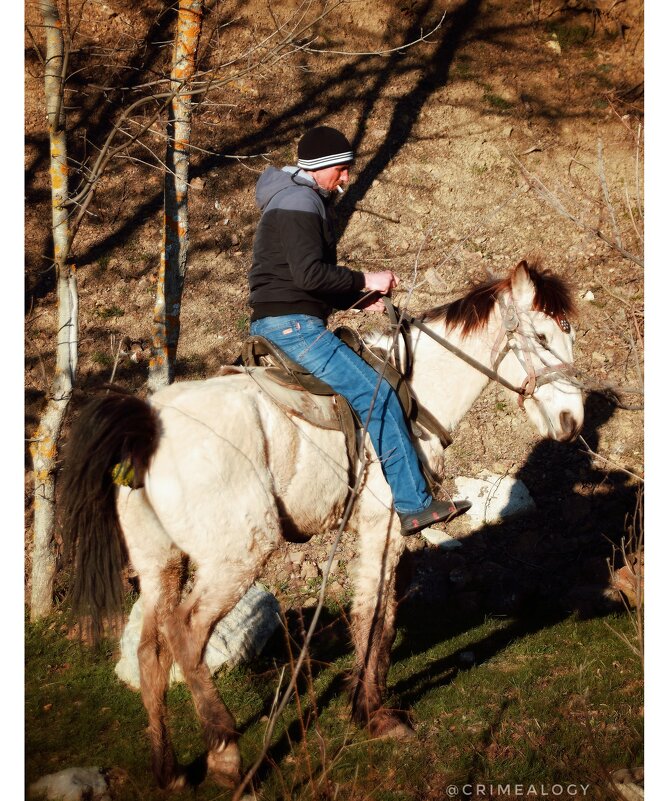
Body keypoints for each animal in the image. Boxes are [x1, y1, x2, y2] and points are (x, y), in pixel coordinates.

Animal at [61, 258, 580, 788]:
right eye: (542, 336)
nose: (571, 419)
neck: (415, 389)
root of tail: (147, 424)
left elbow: (382, 614)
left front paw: (367, 705)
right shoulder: (382, 526)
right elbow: (374, 614)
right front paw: (372, 714)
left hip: (159, 560)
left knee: (150, 648)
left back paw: (169, 770)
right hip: (236, 554)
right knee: (186, 633)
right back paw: (226, 754)